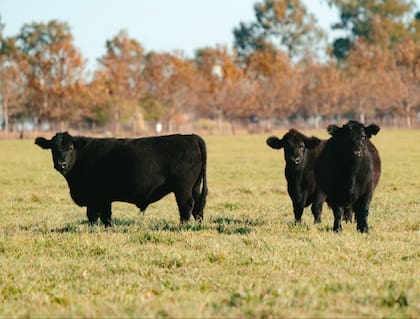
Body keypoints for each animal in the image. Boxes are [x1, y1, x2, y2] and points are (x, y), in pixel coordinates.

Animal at [35, 132, 208, 228]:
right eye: (53, 149)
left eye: (70, 148)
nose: (61, 163)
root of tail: (191, 137)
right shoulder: (104, 198)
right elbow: (106, 216)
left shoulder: (95, 197)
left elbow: (94, 216)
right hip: (195, 186)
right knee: (198, 206)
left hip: (183, 188)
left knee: (186, 206)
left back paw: (183, 226)